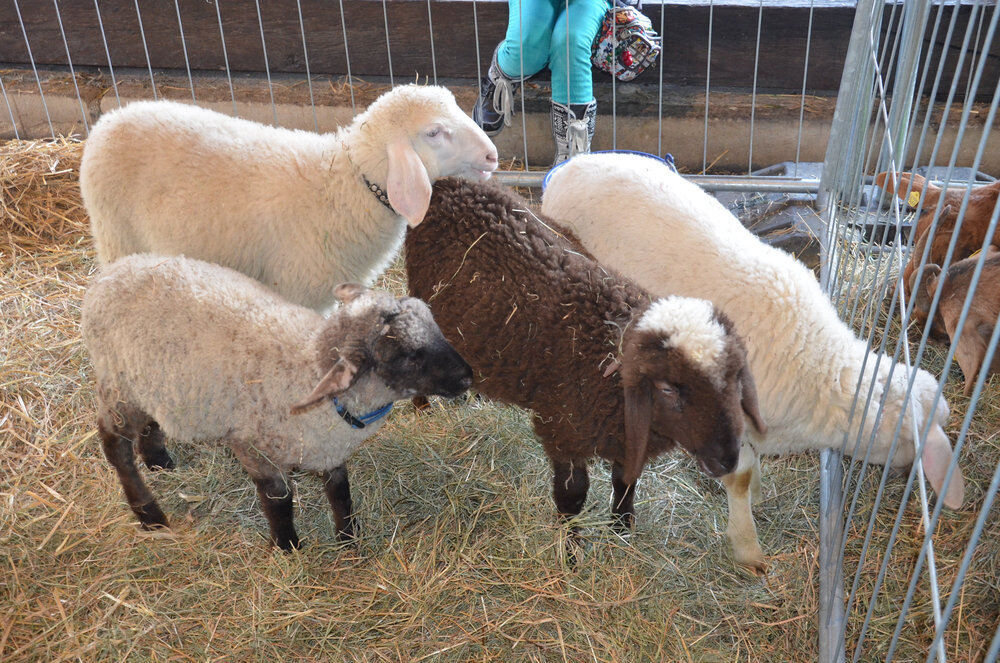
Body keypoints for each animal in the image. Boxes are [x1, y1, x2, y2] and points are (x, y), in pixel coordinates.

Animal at [80, 85, 500, 312]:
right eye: (434, 132)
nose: (493, 156)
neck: (347, 183)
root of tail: (108, 120)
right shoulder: (300, 288)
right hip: (117, 235)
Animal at [80, 254, 470, 548]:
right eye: (407, 356)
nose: (468, 376)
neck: (307, 365)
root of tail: (110, 273)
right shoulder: (253, 449)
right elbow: (279, 500)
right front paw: (287, 545)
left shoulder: (329, 450)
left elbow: (341, 493)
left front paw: (349, 537)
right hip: (119, 385)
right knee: (114, 445)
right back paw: (149, 513)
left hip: (151, 383)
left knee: (150, 421)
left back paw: (159, 460)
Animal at [544, 152, 964, 572]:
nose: (907, 475)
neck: (816, 360)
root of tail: (571, 165)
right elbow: (738, 478)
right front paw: (748, 547)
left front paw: (759, 495)